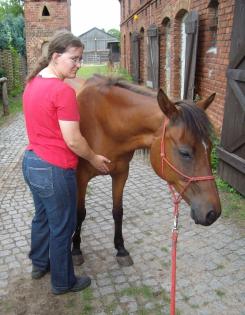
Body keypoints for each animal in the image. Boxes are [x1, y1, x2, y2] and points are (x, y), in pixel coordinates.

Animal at [68, 74, 221, 266]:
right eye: (184, 152)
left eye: (210, 148)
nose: (213, 213)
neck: (104, 122)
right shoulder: (81, 177)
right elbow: (80, 213)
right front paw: (76, 249)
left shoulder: (121, 174)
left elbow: (118, 212)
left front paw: (121, 249)